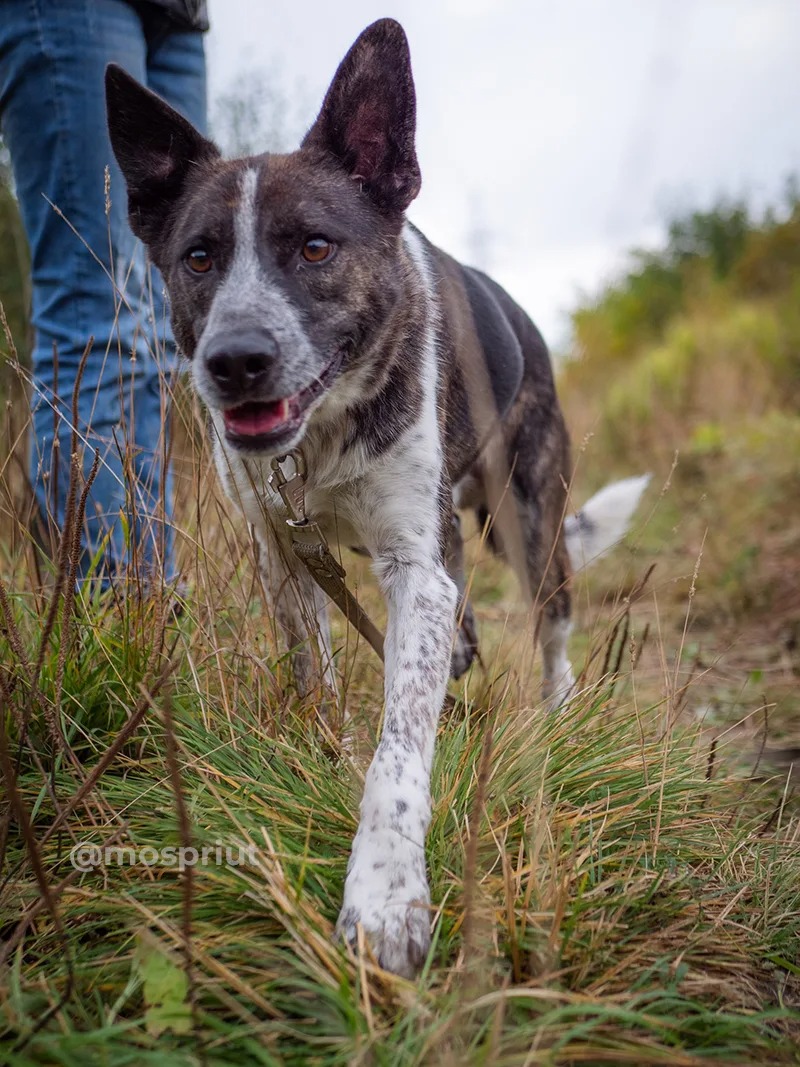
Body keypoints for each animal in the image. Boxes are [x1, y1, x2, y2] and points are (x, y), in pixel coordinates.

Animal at [105, 18, 652, 977]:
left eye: (316, 247)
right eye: (198, 257)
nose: (235, 361)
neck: (322, 435)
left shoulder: (415, 570)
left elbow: (399, 752)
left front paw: (387, 892)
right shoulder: (284, 554)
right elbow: (317, 682)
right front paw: (323, 763)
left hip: (530, 526)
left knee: (553, 631)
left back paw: (560, 719)